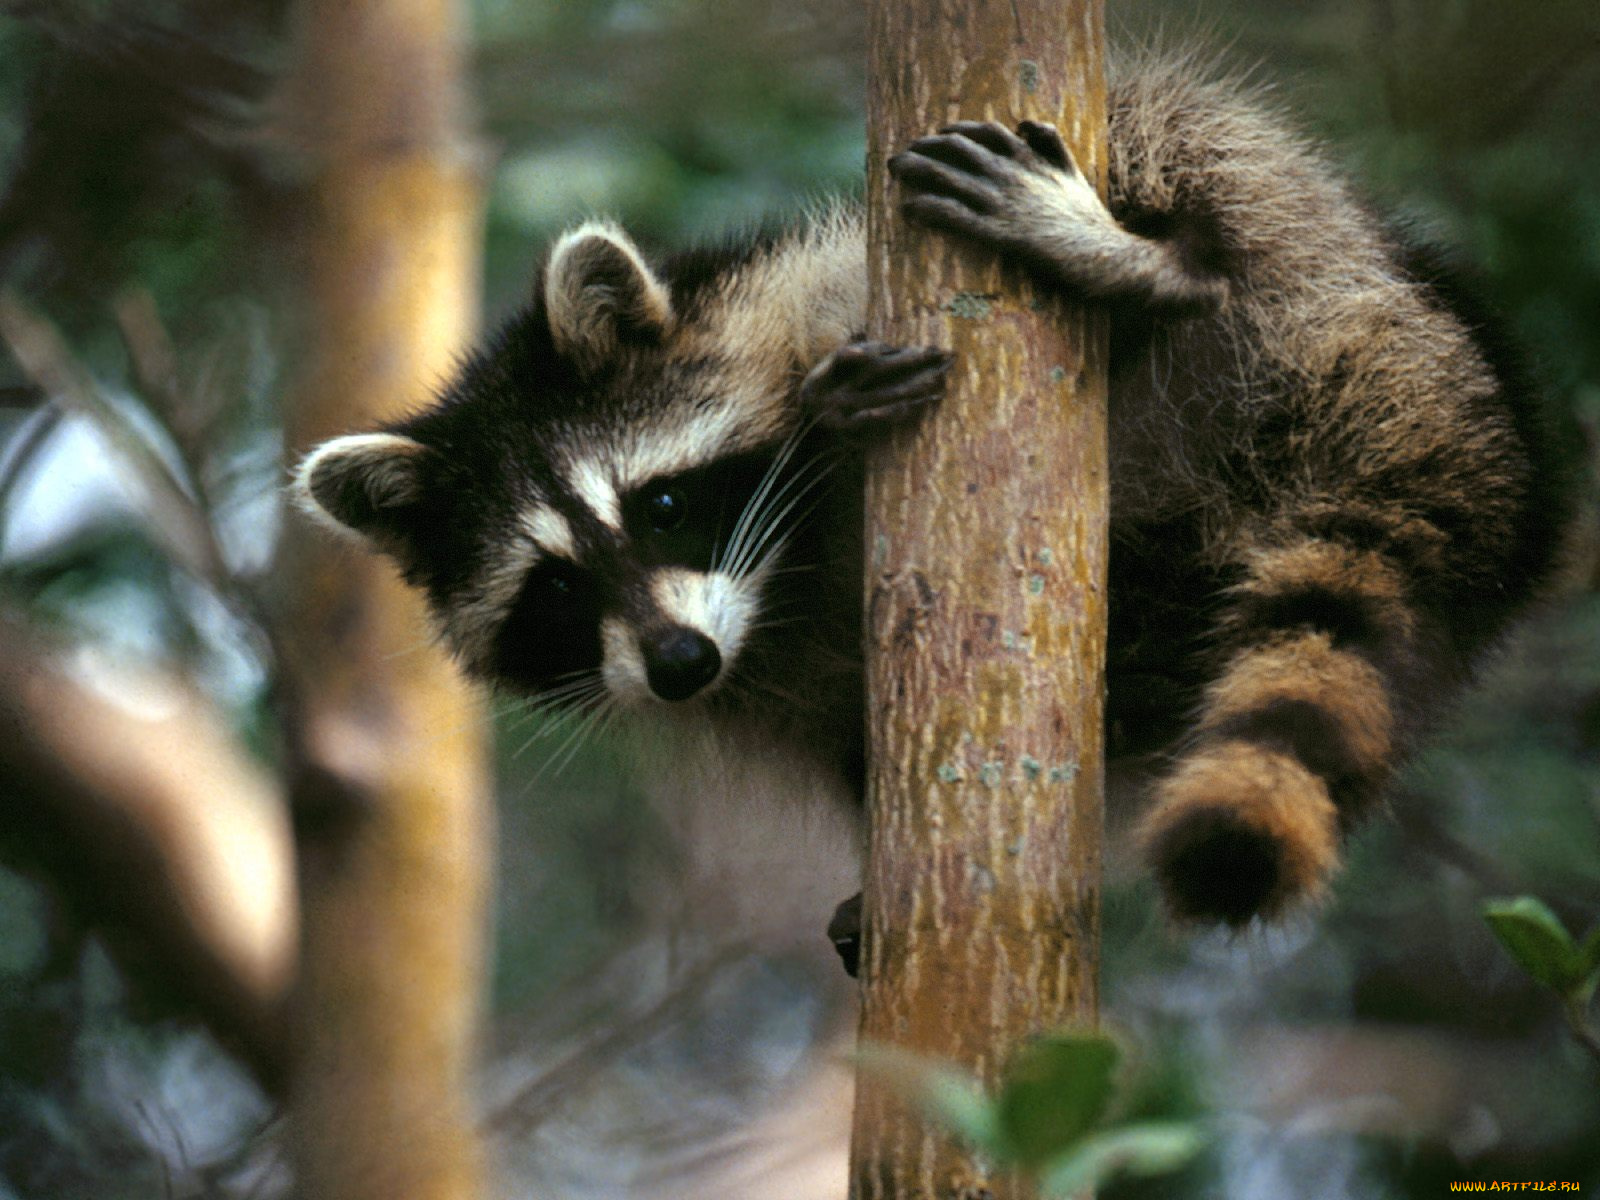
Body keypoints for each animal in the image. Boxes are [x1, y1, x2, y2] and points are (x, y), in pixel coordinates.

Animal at [293, 57, 1571, 935]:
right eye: (555, 589)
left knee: (1186, 143)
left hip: (1311, 268)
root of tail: (1450, 395)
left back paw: (1157, 272)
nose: (678, 666)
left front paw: (823, 425)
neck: (777, 589)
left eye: (658, 508)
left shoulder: (810, 285)